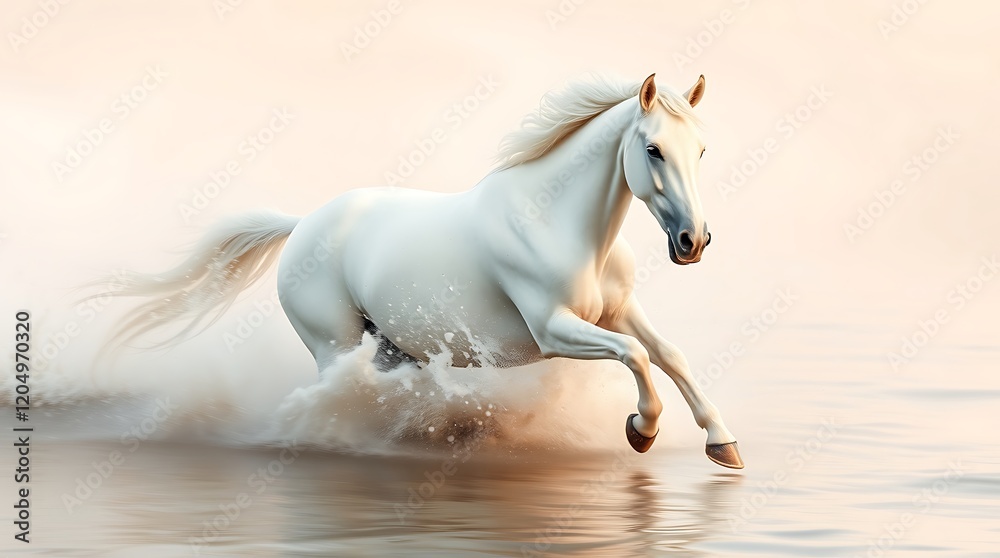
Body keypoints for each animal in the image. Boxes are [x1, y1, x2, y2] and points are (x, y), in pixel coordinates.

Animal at [106, 73, 743, 469]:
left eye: (701, 151)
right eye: (654, 150)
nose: (693, 243)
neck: (557, 221)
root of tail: (304, 222)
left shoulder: (619, 311)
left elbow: (669, 355)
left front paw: (723, 444)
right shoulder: (554, 329)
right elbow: (635, 357)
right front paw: (642, 430)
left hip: (390, 345)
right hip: (334, 343)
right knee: (341, 393)